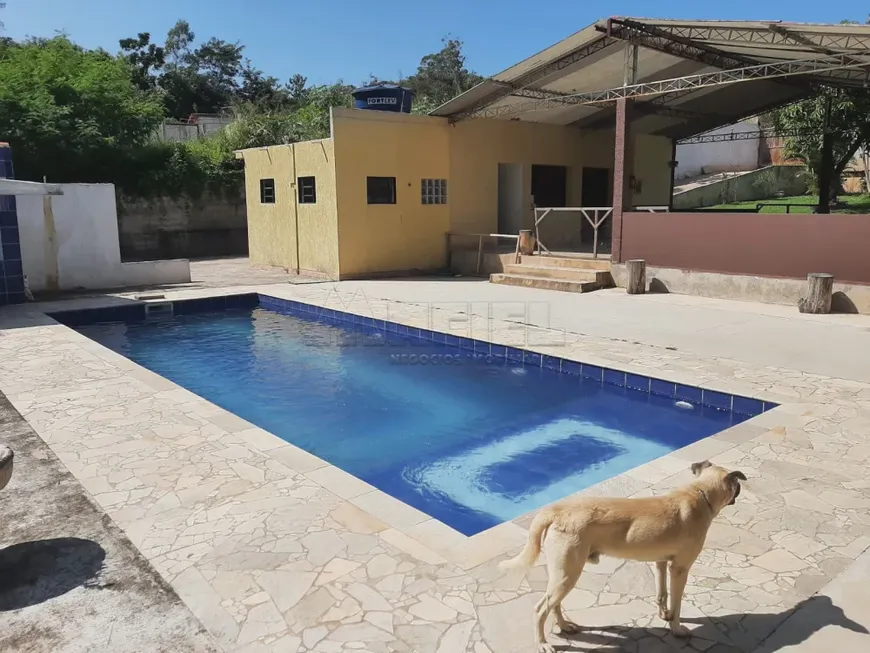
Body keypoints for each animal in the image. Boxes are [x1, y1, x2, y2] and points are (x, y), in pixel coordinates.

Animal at [500, 460, 744, 648]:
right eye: (737, 484)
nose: (740, 487)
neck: (700, 493)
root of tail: (556, 510)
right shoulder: (680, 569)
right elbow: (677, 604)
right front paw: (676, 628)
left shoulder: (661, 563)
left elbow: (662, 593)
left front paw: (663, 614)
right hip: (567, 574)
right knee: (540, 609)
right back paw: (542, 643)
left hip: (562, 574)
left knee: (554, 604)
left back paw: (564, 626)